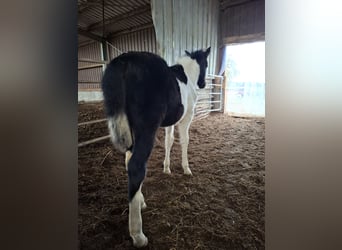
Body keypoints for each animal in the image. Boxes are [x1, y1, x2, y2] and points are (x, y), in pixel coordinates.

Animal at [101, 47, 211, 248]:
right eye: (206, 63)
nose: (203, 83)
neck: (186, 75)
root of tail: (123, 62)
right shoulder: (186, 118)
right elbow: (185, 140)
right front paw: (186, 168)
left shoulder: (170, 122)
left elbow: (169, 141)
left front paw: (167, 168)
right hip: (146, 129)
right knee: (136, 167)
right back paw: (138, 234)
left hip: (131, 131)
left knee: (129, 161)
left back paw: (140, 201)